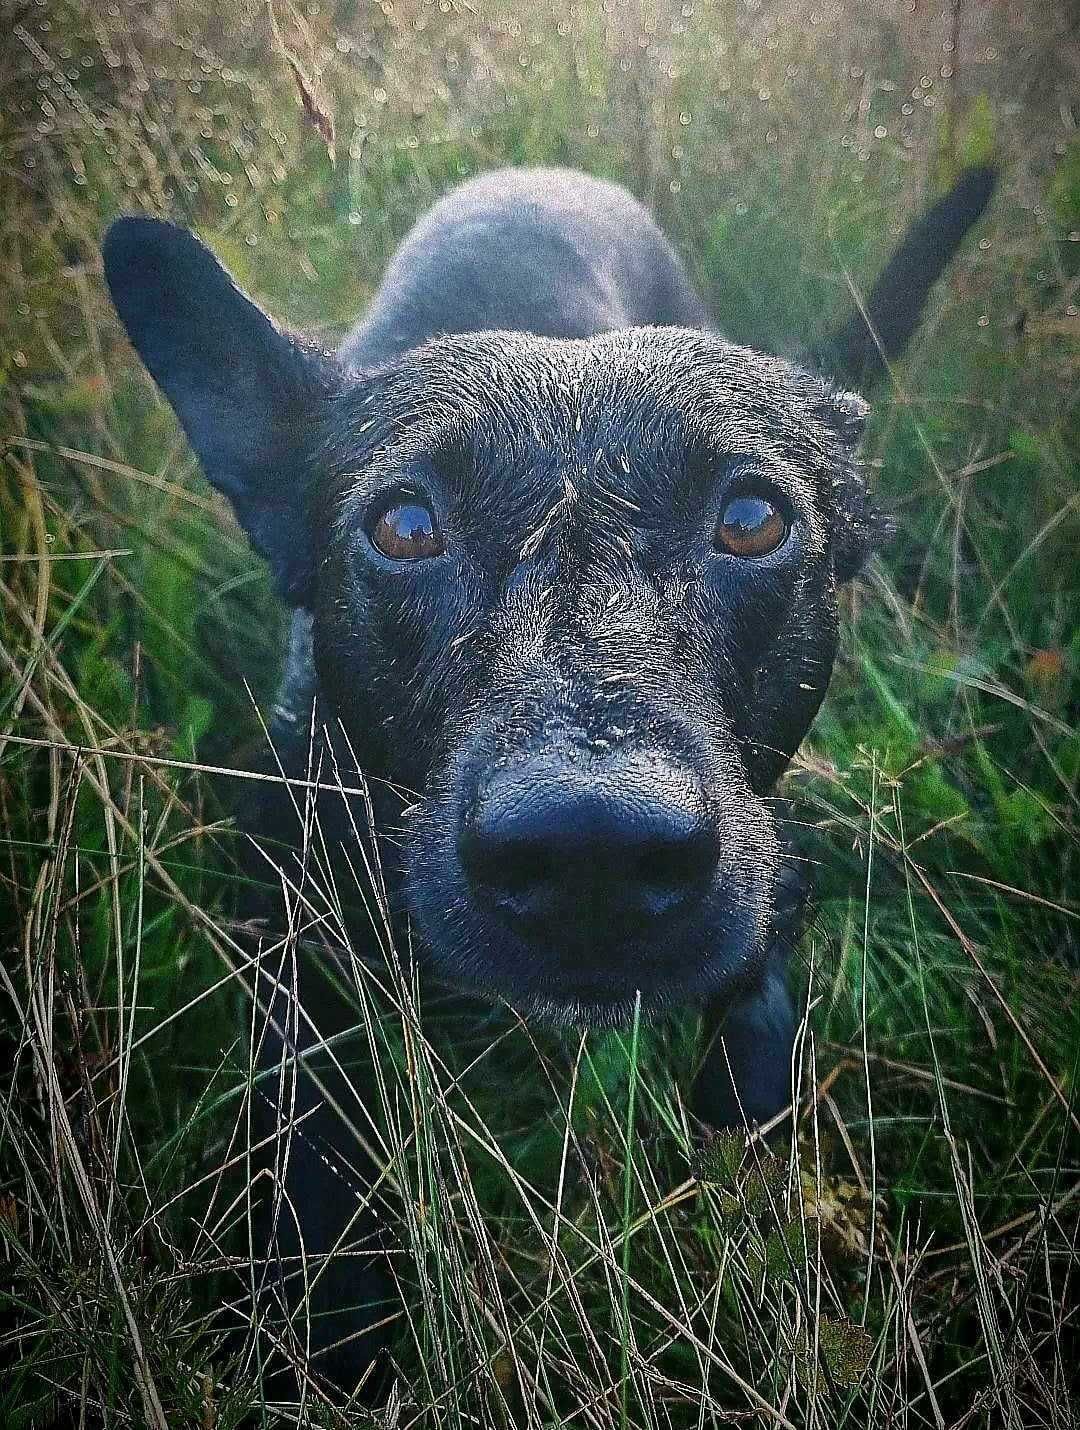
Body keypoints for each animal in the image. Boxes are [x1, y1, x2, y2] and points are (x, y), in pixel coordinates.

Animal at [101, 164, 995, 1384]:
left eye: (753, 517)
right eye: (405, 523)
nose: (592, 852)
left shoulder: (769, 900)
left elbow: (756, 1067)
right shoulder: (297, 956)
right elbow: (311, 1153)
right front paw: (334, 1327)